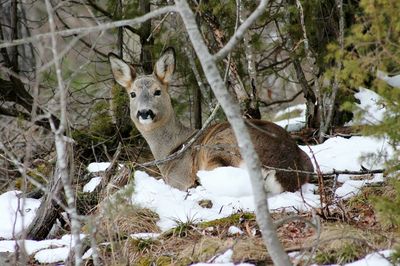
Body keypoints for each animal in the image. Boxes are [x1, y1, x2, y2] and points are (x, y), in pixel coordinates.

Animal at [108, 47, 314, 193]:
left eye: (157, 91)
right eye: (133, 94)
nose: (144, 112)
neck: (173, 149)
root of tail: (282, 170)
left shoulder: (178, 178)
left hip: (219, 147)